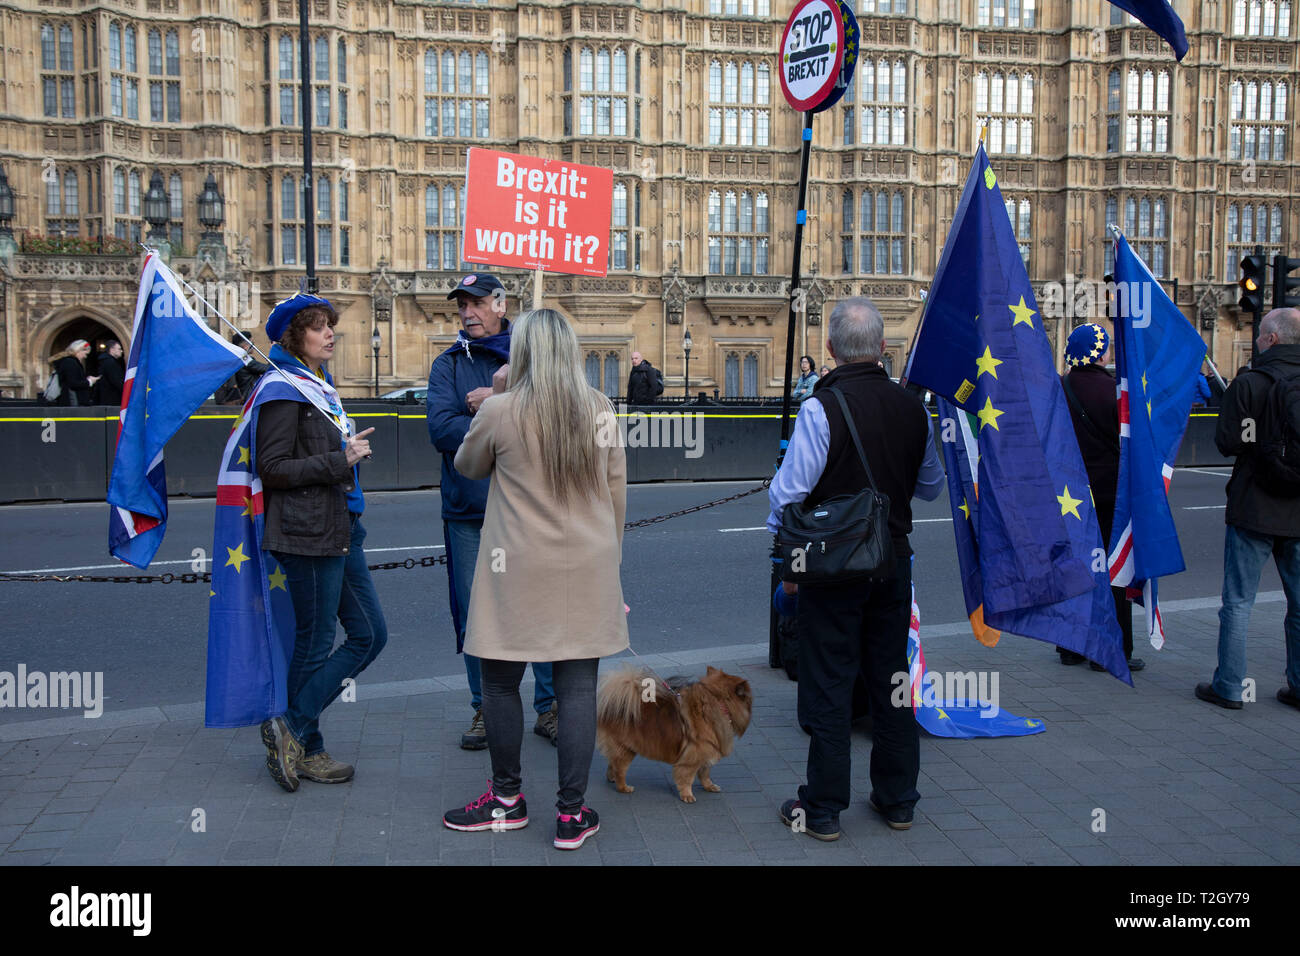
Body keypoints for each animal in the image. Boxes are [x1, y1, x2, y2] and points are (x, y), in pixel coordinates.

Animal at [595, 665, 754, 806]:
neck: (719, 703)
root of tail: (609, 706)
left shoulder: (707, 751)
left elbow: (705, 773)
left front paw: (709, 786)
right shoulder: (692, 756)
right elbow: (687, 778)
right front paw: (687, 796)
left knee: (612, 762)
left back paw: (611, 778)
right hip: (626, 749)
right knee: (620, 768)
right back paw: (624, 787)